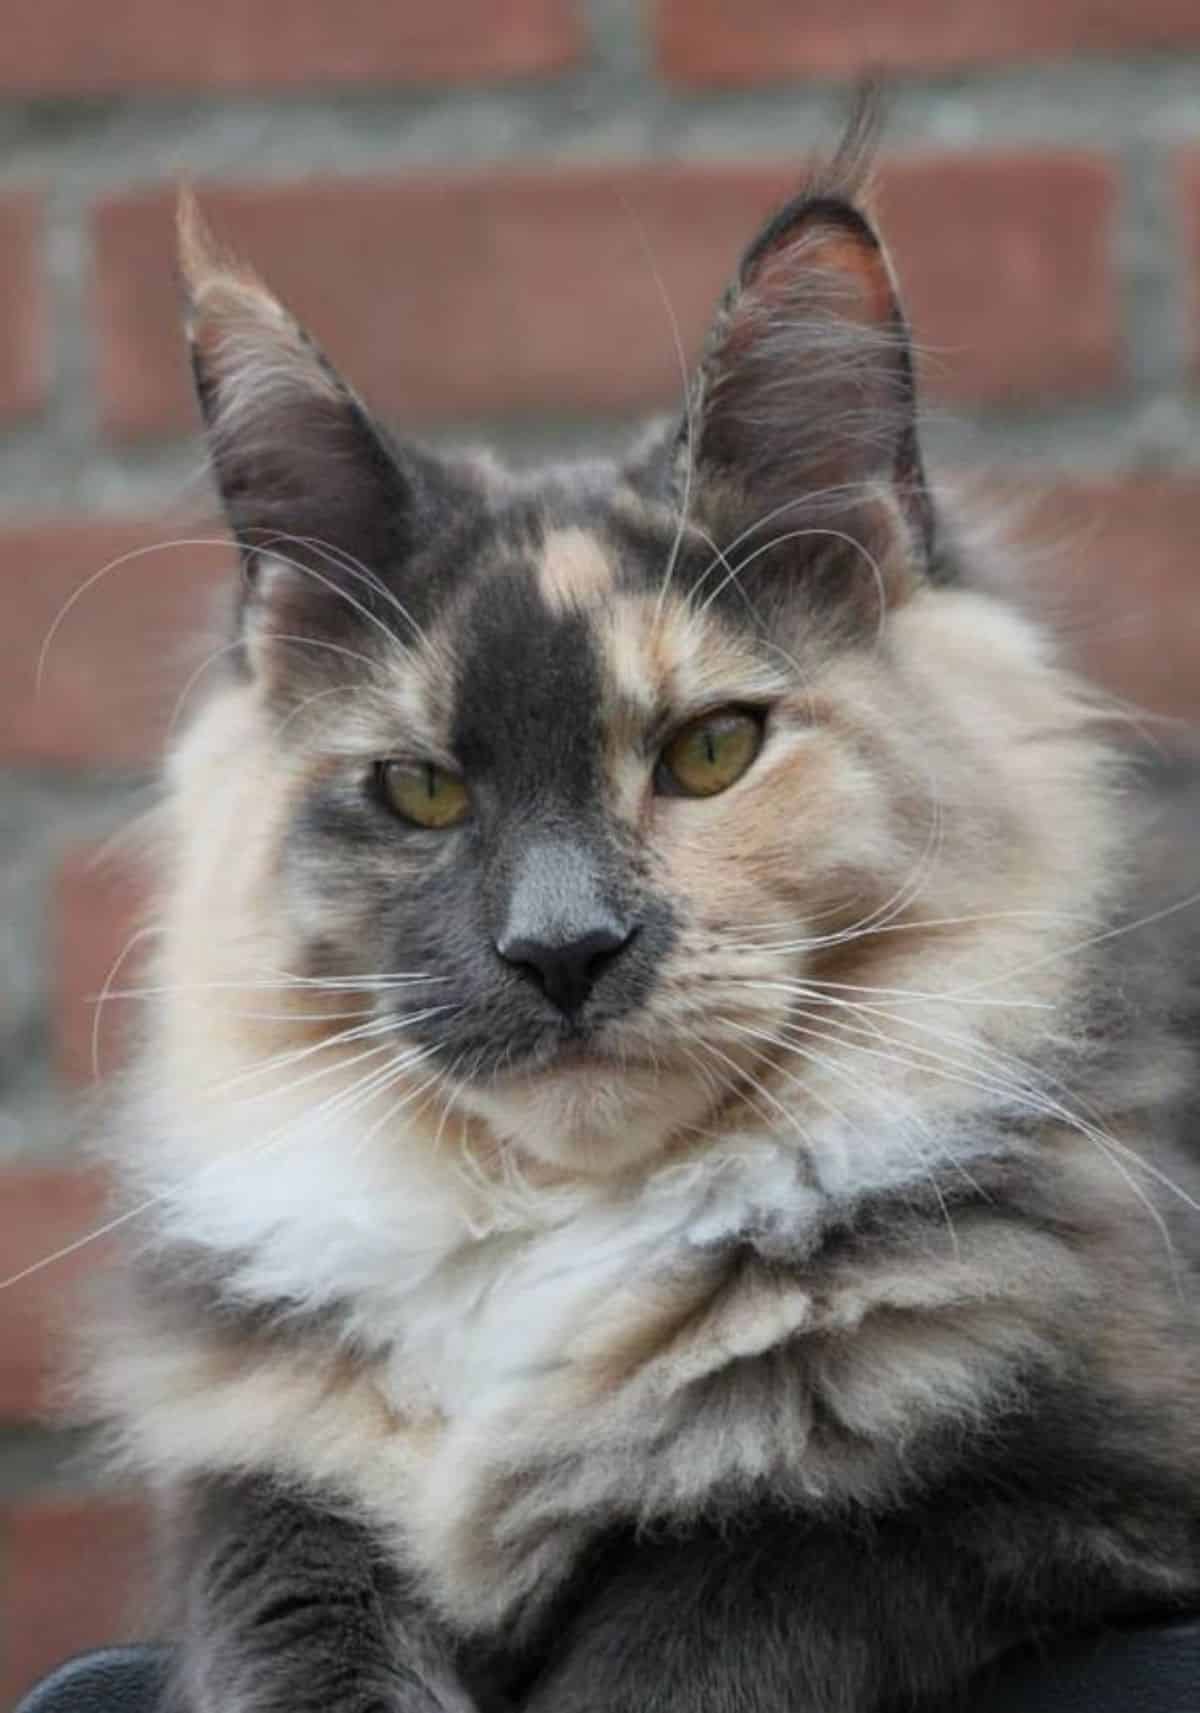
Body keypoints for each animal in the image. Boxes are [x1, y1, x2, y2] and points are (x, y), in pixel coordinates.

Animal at [84, 107, 1198, 1713]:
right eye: (423, 790)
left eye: (711, 753)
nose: (562, 950)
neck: (565, 1234)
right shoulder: (265, 1487)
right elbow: (300, 1634)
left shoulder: (1044, 1483)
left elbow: (704, 1617)